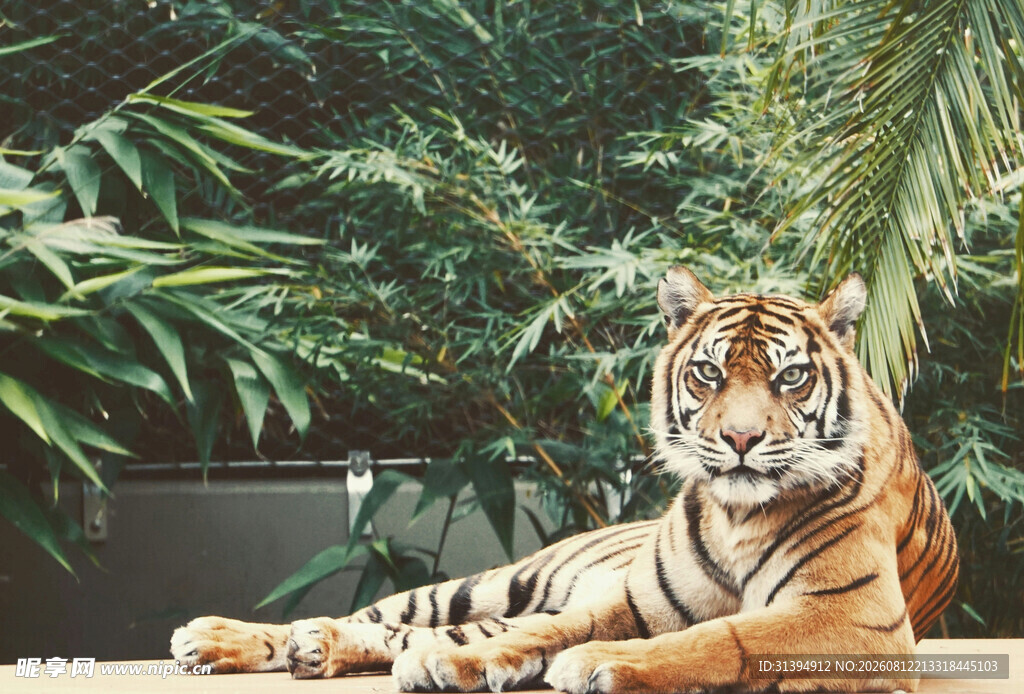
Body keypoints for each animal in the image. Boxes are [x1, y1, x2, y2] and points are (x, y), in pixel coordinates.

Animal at [171, 267, 958, 693]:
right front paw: (475, 661)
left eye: (790, 378)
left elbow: (721, 636)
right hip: (493, 580)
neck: (738, 515)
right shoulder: (633, 600)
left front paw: (595, 663)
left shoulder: (853, 619)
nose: (739, 439)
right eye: (708, 373)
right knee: (396, 615)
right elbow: (552, 627)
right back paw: (221, 638)